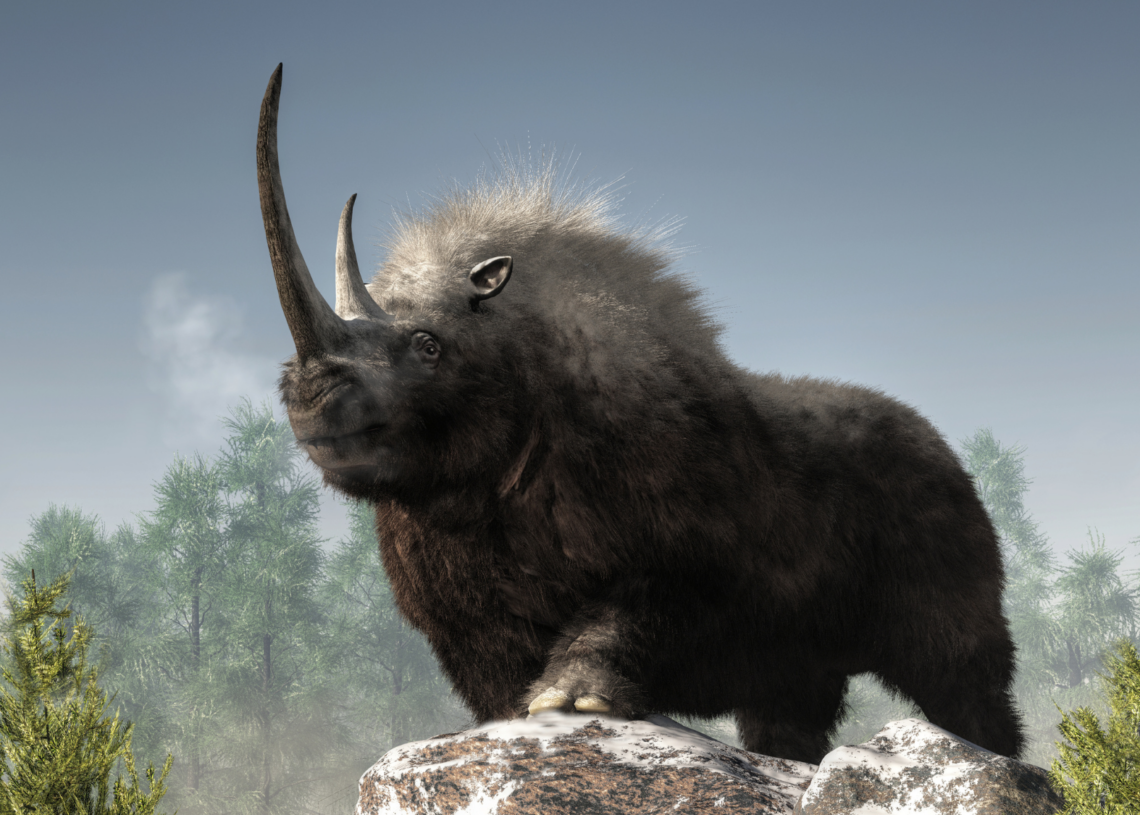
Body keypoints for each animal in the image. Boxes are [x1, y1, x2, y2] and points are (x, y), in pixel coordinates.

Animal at [254, 64, 1024, 762]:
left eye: (427, 345)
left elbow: (624, 616)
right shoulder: (464, 618)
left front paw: (571, 702)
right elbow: (501, 685)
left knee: (959, 670)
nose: (310, 397)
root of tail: (946, 446)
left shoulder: (693, 561)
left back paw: (994, 755)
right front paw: (519, 719)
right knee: (792, 697)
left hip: (942, 509)